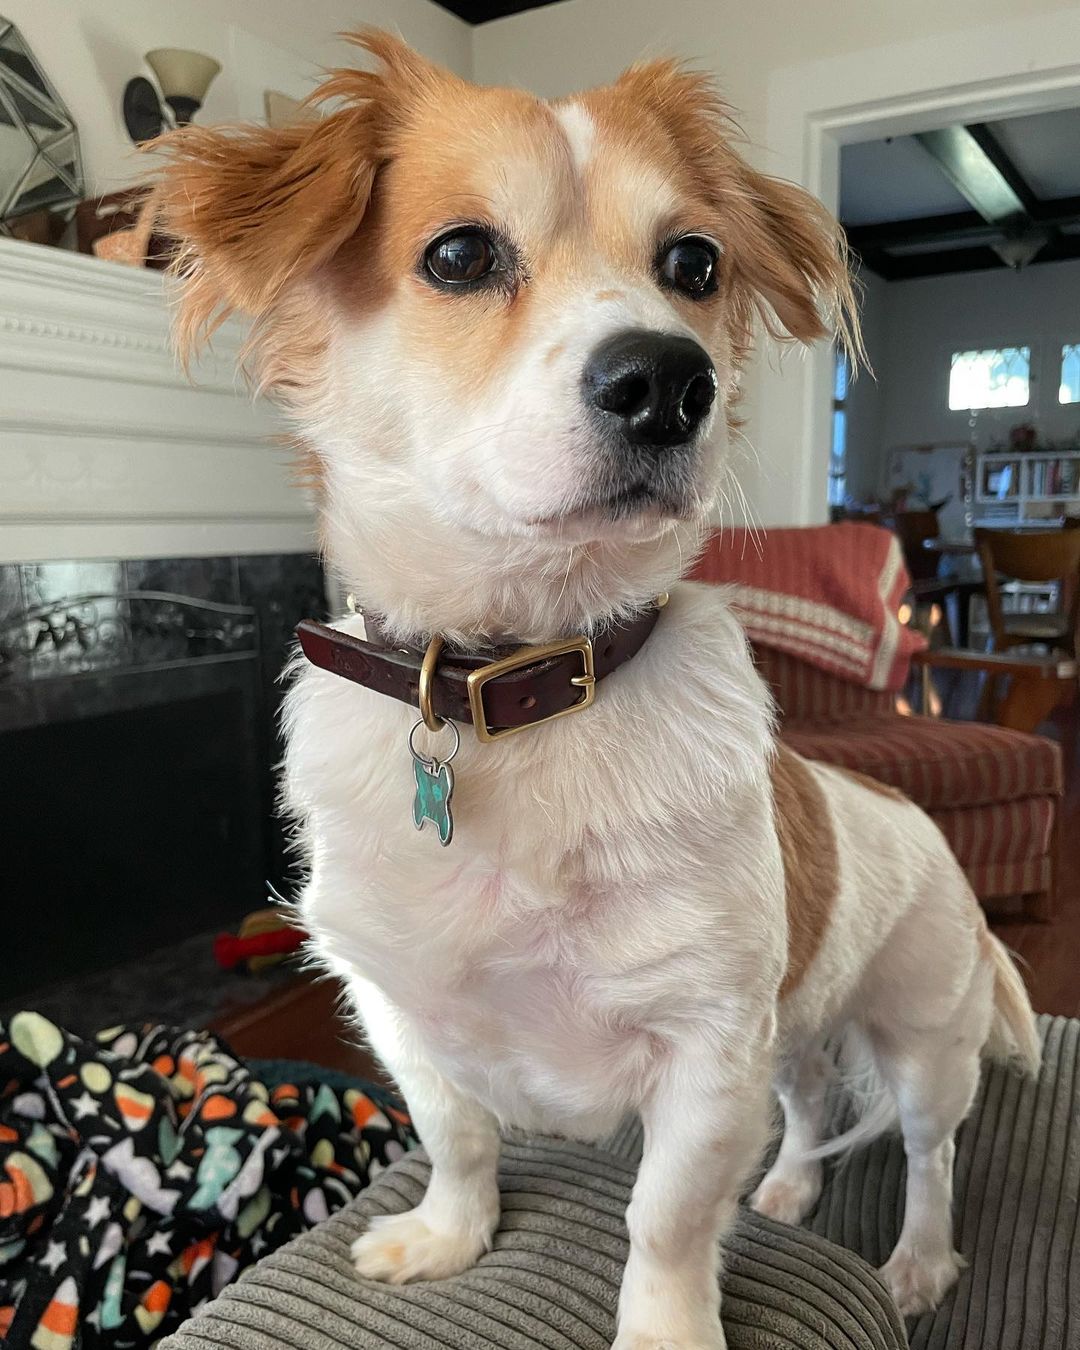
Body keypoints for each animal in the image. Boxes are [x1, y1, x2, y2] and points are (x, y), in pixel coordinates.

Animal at [156, 32, 1040, 1349]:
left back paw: (921, 1264)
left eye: (695, 263)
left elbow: (664, 1220)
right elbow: (459, 1135)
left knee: (930, 1155)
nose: (669, 381)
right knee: (809, 1103)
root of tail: (916, 820)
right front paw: (451, 1234)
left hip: (927, 1041)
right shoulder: (402, 1013)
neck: (517, 676)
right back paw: (787, 1189)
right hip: (799, 1029)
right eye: (459, 255)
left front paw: (666, 1327)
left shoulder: (709, 1049)